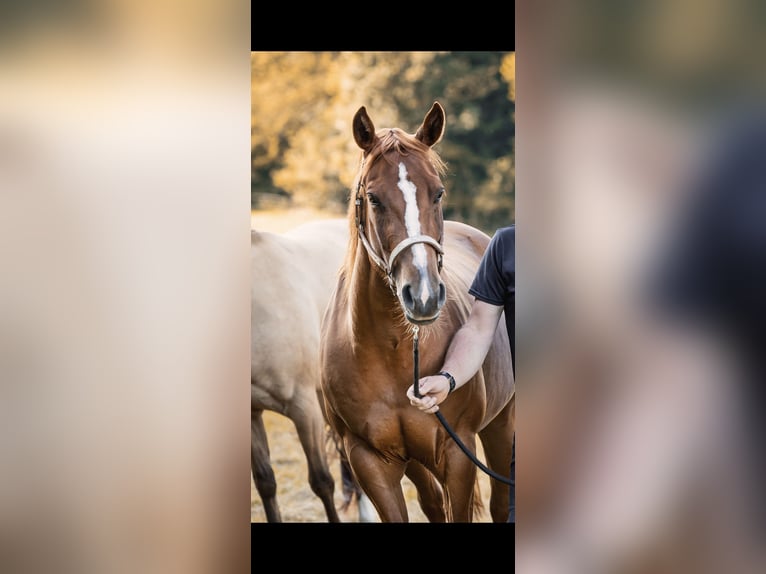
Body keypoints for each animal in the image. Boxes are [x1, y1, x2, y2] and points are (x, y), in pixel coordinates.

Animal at [319, 102, 515, 522]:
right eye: (374, 199)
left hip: (500, 423)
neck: (393, 351)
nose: (423, 295)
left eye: (438, 192)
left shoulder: (458, 455)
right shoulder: (370, 462)